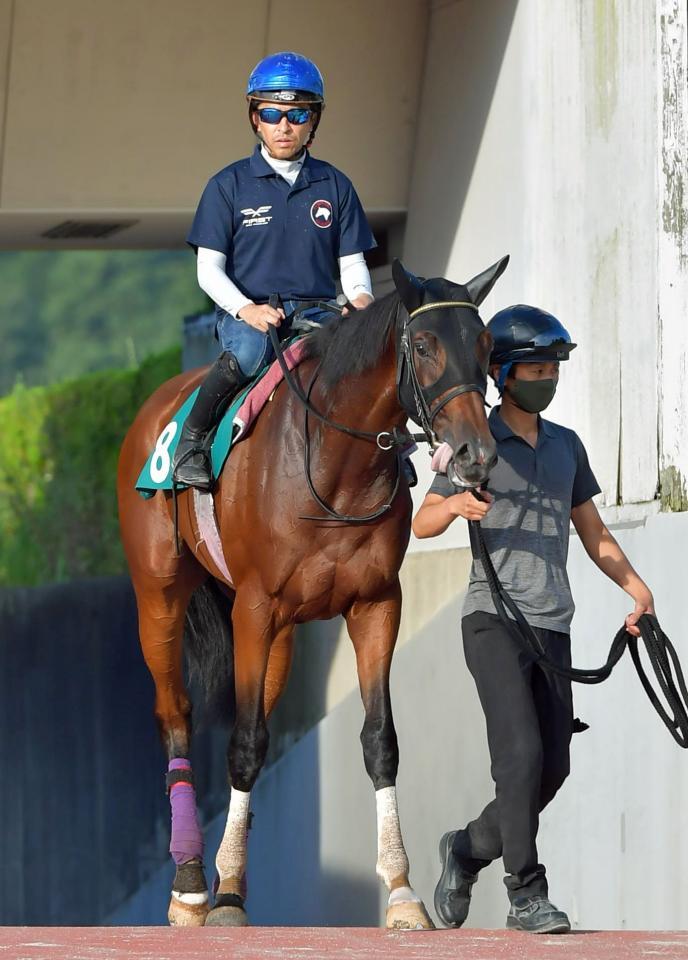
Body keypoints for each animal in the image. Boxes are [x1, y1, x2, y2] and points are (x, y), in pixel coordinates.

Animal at [116, 256, 508, 929]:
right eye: (424, 345)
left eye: (484, 345)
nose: (475, 454)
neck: (333, 466)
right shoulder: (254, 607)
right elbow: (245, 744)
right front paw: (219, 902)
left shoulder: (375, 604)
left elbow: (379, 740)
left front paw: (401, 890)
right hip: (160, 597)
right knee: (177, 714)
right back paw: (192, 885)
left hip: (277, 636)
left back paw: (228, 878)